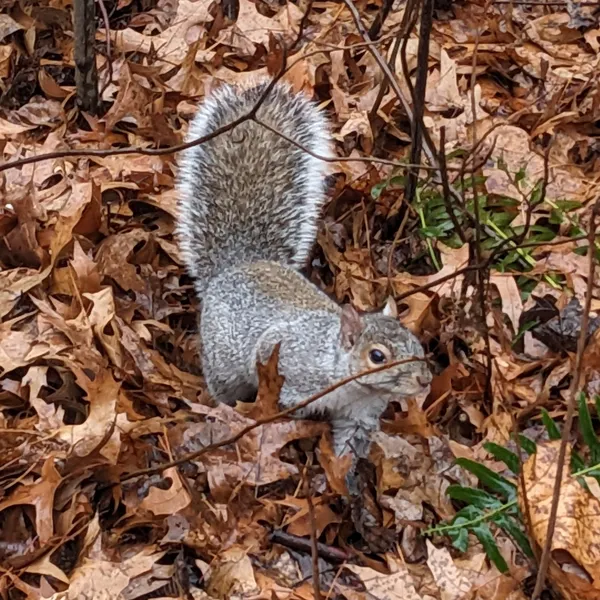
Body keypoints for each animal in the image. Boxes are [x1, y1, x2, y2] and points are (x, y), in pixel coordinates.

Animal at [176, 77, 434, 458]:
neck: (348, 382)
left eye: (415, 344)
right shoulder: (287, 362)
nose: (424, 379)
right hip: (222, 363)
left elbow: (349, 447)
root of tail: (238, 264)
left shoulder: (358, 414)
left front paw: (340, 471)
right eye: (377, 356)